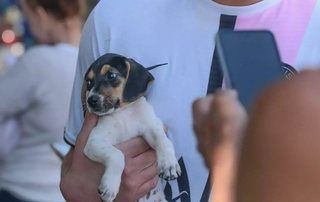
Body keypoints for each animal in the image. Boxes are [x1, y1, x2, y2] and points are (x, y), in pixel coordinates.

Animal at [81, 53, 181, 202]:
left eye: (111, 75)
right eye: (88, 81)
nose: (91, 100)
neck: (123, 112)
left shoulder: (152, 127)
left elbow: (163, 141)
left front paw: (169, 164)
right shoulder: (94, 141)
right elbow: (117, 154)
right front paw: (110, 186)